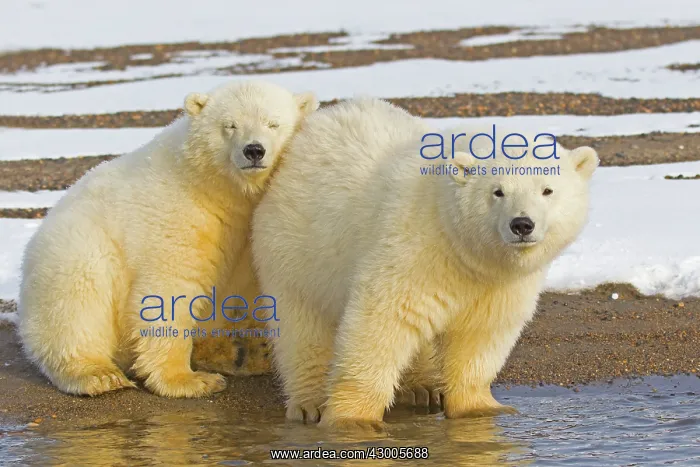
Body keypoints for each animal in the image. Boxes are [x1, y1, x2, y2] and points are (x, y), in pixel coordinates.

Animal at [18, 80, 318, 398]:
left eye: (273, 123)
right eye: (229, 125)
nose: (254, 150)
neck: (220, 190)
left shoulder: (245, 234)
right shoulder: (181, 214)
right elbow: (171, 287)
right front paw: (189, 380)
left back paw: (243, 352)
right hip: (74, 253)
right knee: (78, 303)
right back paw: (97, 374)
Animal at [251, 98, 598, 429]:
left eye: (547, 189)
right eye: (497, 191)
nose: (522, 224)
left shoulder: (499, 283)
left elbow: (481, 334)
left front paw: (480, 408)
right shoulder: (416, 248)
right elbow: (382, 320)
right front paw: (352, 419)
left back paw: (423, 388)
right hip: (296, 248)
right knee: (302, 328)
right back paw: (309, 403)